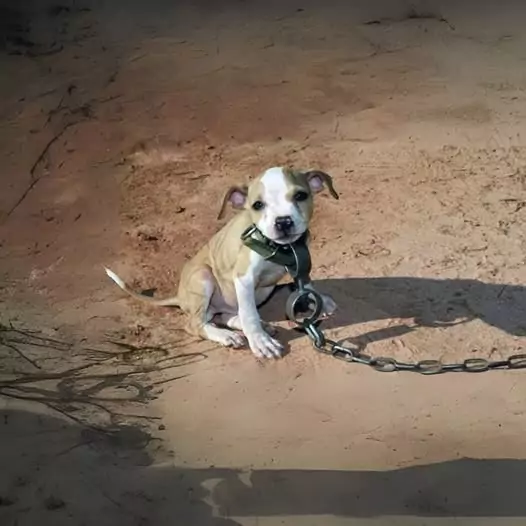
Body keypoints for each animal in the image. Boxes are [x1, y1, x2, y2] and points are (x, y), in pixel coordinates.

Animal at [105, 167, 340, 360]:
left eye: (300, 195)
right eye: (258, 205)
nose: (283, 222)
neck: (281, 247)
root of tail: (180, 296)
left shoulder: (300, 263)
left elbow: (304, 285)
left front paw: (317, 301)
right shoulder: (244, 277)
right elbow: (250, 314)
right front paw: (261, 343)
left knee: (226, 315)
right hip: (203, 276)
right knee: (197, 323)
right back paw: (228, 335)